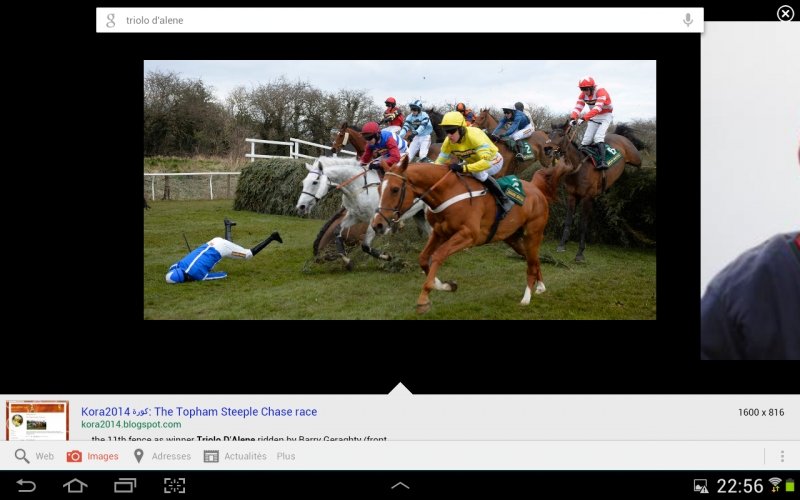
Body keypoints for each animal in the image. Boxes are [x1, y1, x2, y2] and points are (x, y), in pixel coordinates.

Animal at [296, 156, 428, 270]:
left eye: (314, 182)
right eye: (304, 182)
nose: (300, 206)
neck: (358, 189)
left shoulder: (374, 221)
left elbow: (365, 246)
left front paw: (388, 257)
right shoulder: (354, 216)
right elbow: (337, 232)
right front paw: (347, 261)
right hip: (419, 214)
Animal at [371, 155, 569, 313]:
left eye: (395, 189)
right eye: (379, 189)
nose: (377, 225)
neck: (447, 191)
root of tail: (536, 190)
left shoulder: (468, 235)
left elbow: (438, 255)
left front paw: (424, 299)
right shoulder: (439, 233)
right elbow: (423, 258)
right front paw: (447, 285)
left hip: (533, 234)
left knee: (531, 263)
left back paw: (526, 297)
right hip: (513, 238)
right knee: (533, 260)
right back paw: (540, 286)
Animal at [544, 121, 643, 262]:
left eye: (561, 135)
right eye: (549, 134)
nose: (547, 149)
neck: (578, 167)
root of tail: (619, 136)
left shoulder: (587, 198)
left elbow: (583, 225)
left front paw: (580, 253)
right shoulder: (572, 196)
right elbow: (568, 221)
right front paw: (562, 245)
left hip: (634, 157)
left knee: (640, 163)